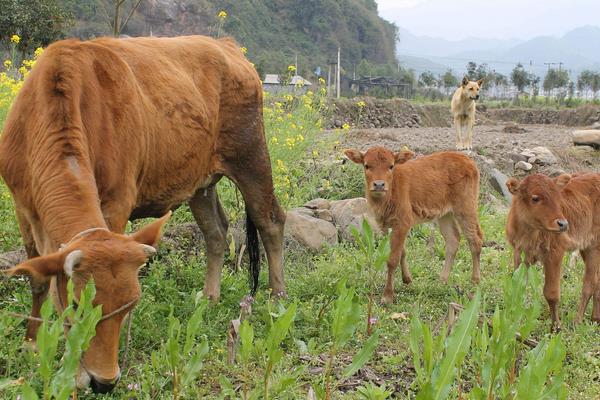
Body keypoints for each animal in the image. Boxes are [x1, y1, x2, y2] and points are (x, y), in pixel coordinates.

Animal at [0, 35, 286, 394]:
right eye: (78, 305)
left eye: (131, 303)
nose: (104, 381)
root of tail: (226, 44)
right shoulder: (23, 207)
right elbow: (38, 279)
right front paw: (32, 344)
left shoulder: (116, 204)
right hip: (200, 182)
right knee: (216, 231)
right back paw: (209, 297)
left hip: (251, 155)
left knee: (271, 221)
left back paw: (277, 298)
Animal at [344, 148, 480, 304]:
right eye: (366, 165)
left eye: (391, 166)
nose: (379, 185)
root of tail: (467, 159)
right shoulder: (386, 226)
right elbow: (401, 252)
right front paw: (407, 279)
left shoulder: (403, 222)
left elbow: (392, 259)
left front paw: (387, 296)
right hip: (445, 214)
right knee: (453, 240)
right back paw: (442, 281)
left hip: (466, 208)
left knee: (475, 240)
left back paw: (475, 281)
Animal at [506, 173, 600, 330]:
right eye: (535, 198)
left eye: (558, 198)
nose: (563, 224)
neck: (529, 232)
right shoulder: (519, 252)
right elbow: (519, 285)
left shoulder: (554, 253)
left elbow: (551, 293)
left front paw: (556, 327)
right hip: (586, 248)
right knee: (597, 280)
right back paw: (595, 318)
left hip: (594, 247)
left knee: (589, 283)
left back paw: (577, 321)